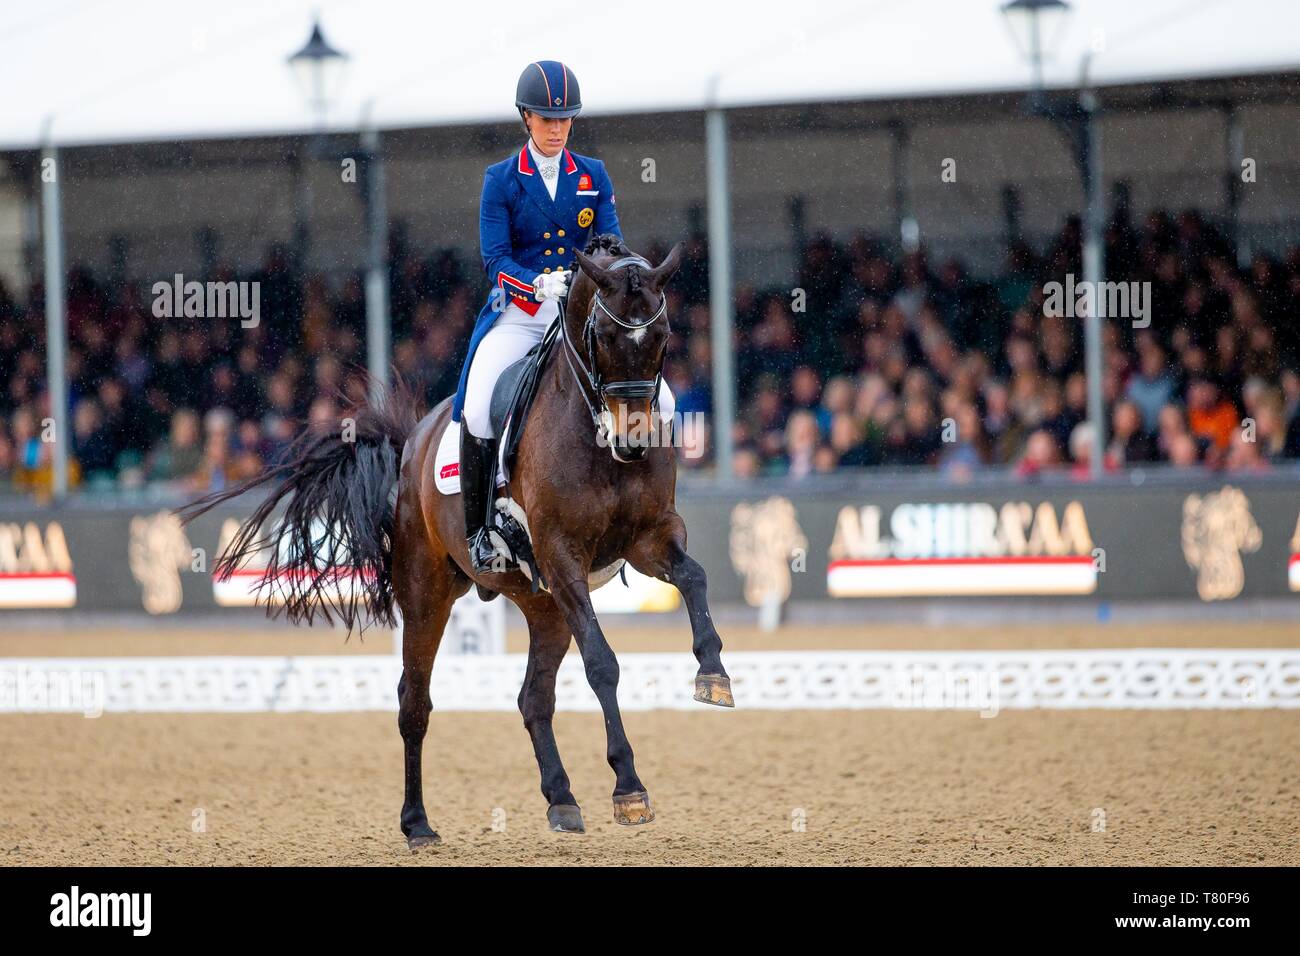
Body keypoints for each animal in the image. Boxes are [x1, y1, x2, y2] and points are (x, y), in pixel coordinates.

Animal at [182, 235, 733, 847]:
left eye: (662, 338)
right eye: (605, 338)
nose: (633, 444)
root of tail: (411, 444)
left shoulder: (648, 536)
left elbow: (694, 576)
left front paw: (713, 676)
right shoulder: (563, 554)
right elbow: (602, 664)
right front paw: (629, 788)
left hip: (545, 605)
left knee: (532, 698)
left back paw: (562, 801)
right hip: (430, 594)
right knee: (414, 702)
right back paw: (417, 823)